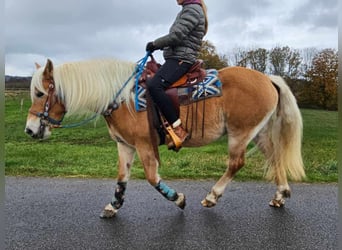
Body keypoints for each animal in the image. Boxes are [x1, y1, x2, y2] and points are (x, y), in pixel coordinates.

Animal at [25, 55, 306, 218]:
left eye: (40, 93)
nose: (29, 129)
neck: (122, 97)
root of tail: (267, 78)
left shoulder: (144, 145)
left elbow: (152, 177)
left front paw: (178, 199)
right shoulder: (125, 145)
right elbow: (122, 178)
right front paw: (113, 206)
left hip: (240, 133)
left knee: (236, 163)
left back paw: (212, 196)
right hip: (257, 133)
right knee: (275, 157)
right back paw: (280, 195)